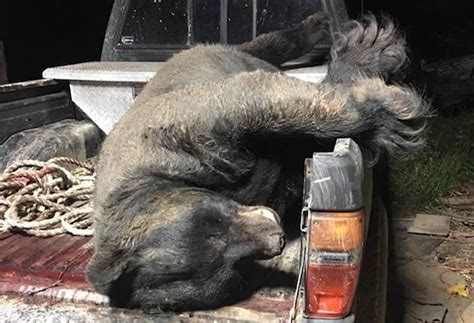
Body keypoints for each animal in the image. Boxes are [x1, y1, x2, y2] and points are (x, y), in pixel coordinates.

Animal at [86, 13, 430, 314]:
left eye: (215, 221)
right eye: (235, 269)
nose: (277, 234)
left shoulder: (185, 135)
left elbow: (265, 104)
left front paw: (381, 114)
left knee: (270, 46)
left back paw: (341, 39)